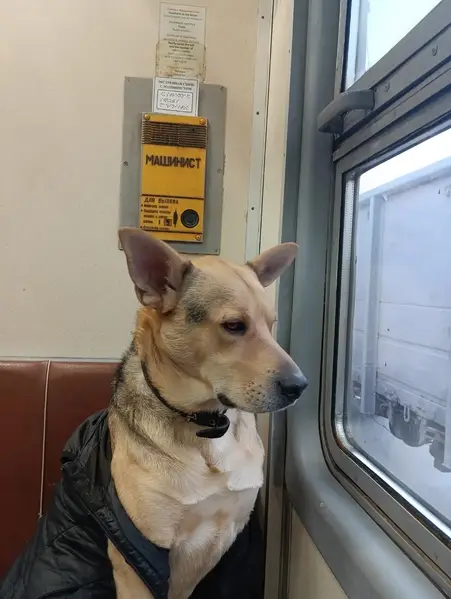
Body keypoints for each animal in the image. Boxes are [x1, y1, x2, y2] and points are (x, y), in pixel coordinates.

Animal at [108, 227, 307, 599]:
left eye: (271, 324)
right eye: (234, 325)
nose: (299, 386)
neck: (208, 425)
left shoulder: (229, 536)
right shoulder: (137, 558)